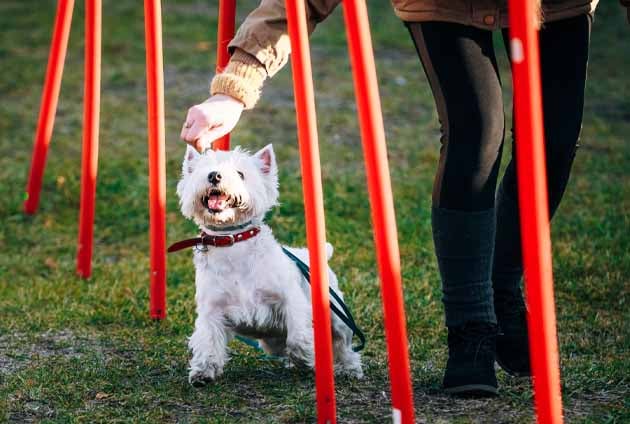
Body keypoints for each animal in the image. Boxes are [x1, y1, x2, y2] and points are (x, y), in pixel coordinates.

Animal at [177, 144, 366, 386]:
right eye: (205, 169)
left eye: (240, 174)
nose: (214, 176)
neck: (232, 243)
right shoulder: (212, 310)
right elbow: (208, 341)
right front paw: (202, 373)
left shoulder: (290, 300)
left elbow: (298, 336)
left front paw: (307, 358)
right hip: (272, 341)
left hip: (336, 315)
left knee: (344, 344)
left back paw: (349, 368)